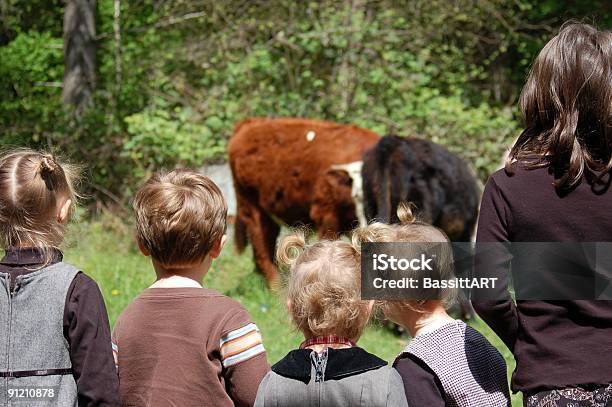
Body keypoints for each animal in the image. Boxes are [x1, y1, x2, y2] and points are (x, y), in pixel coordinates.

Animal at [227, 117, 380, 284]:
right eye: (358, 195)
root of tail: (249, 123)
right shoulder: (326, 215)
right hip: (251, 207)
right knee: (261, 245)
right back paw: (275, 285)